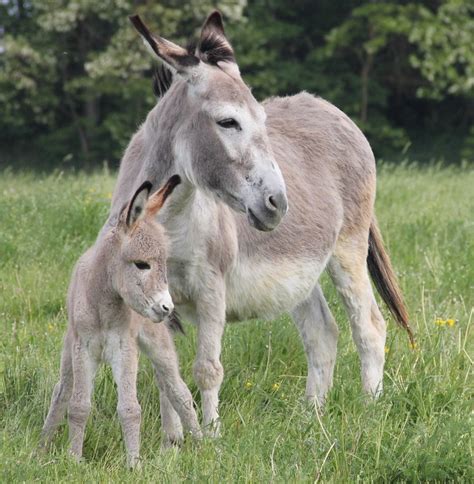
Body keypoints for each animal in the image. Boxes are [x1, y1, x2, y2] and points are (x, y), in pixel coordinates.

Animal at [40, 176, 202, 466]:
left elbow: (130, 408)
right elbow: (78, 405)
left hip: (157, 343)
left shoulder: (124, 347)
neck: (103, 305)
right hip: (69, 347)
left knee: (179, 390)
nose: (167, 307)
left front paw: (134, 464)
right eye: (142, 264)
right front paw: (73, 459)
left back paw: (205, 446)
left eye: (164, 264)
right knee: (62, 389)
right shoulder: (83, 348)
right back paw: (42, 446)